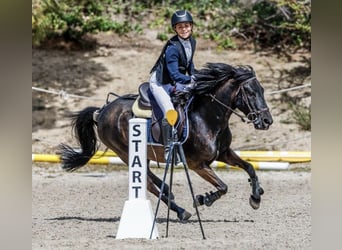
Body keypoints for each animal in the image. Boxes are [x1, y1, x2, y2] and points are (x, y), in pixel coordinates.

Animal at [58, 62, 272, 221]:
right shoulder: (197, 164)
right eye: (250, 93)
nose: (267, 121)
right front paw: (204, 199)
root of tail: (101, 111)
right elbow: (223, 186)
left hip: (141, 154)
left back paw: (168, 191)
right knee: (148, 184)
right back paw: (181, 210)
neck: (207, 117)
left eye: (262, 90)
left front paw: (256, 196)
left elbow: (250, 167)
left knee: (150, 178)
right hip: (125, 153)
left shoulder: (224, 153)